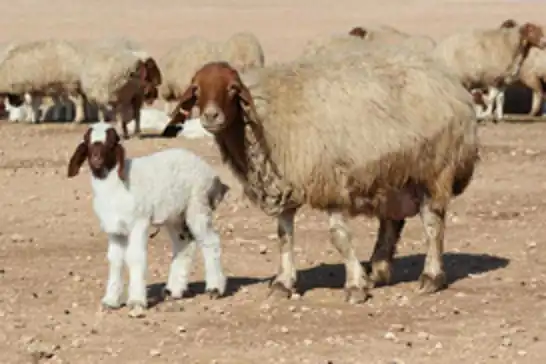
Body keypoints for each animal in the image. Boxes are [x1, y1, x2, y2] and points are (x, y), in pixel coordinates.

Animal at [67, 121, 228, 318]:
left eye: (111, 143)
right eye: (88, 142)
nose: (96, 159)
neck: (117, 184)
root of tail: (212, 174)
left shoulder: (139, 221)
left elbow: (135, 257)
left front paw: (136, 301)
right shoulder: (114, 229)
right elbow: (115, 260)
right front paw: (111, 301)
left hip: (198, 205)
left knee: (210, 241)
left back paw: (215, 288)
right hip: (175, 216)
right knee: (185, 243)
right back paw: (174, 290)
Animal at [169, 55, 476, 302]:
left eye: (232, 89)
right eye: (196, 90)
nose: (211, 116)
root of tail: (450, 82)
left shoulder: (331, 184)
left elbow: (339, 237)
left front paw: (355, 285)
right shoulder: (285, 184)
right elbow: (284, 237)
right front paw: (284, 282)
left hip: (434, 170)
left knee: (432, 224)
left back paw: (431, 277)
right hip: (392, 175)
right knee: (391, 222)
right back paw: (378, 270)